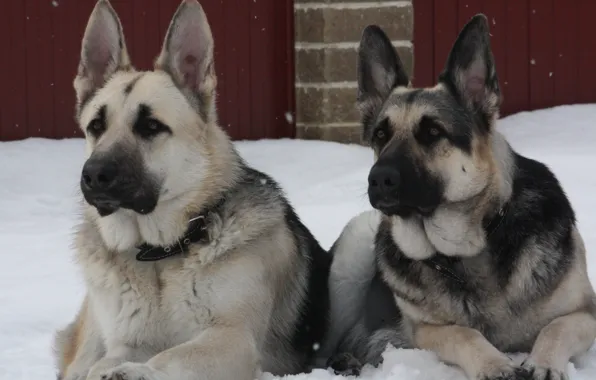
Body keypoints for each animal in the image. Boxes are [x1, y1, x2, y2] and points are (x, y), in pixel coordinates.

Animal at [51, 0, 330, 380]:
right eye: (96, 126)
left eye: (151, 126)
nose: (93, 175)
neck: (158, 254)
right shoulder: (129, 341)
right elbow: (108, 361)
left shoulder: (232, 339)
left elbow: (170, 357)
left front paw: (136, 372)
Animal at [322, 13, 596, 380]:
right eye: (381, 135)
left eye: (432, 132)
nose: (378, 179)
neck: (469, 248)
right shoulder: (427, 330)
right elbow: (465, 333)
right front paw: (495, 364)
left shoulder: (585, 314)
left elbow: (556, 328)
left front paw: (543, 363)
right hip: (355, 243)